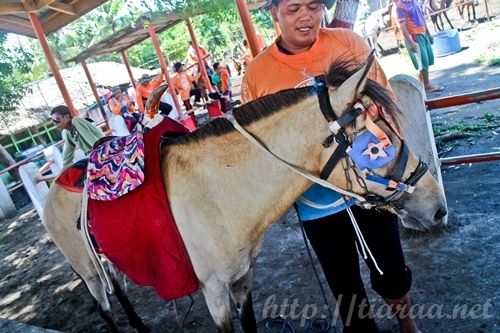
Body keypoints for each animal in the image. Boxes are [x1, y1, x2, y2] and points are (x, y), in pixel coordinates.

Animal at [43, 53, 448, 330]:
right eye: (375, 147)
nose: (437, 206)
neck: (217, 197)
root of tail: (51, 189)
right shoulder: (214, 292)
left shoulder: (242, 279)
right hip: (87, 270)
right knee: (103, 307)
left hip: (109, 260)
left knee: (121, 293)